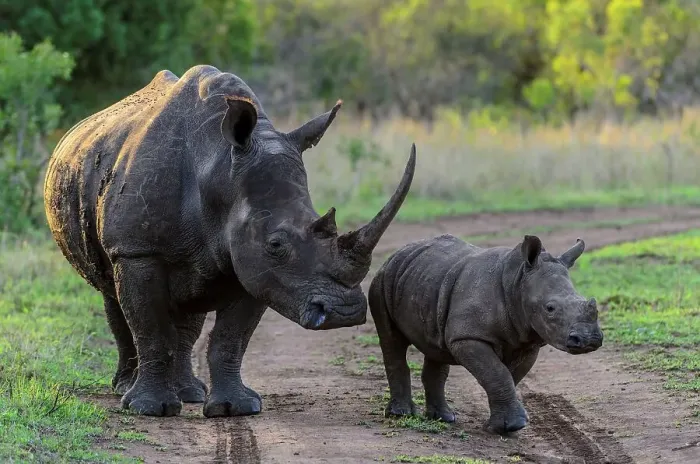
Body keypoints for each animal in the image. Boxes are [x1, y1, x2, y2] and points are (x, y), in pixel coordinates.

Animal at [44, 65, 417, 417]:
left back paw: (190, 393)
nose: (344, 313)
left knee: (188, 310)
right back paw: (125, 390)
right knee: (112, 294)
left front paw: (234, 409)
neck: (218, 167)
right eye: (276, 244)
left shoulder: (256, 266)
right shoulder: (138, 251)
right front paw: (148, 409)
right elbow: (151, 328)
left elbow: (231, 338)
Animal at [368, 234, 603, 434]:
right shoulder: (468, 337)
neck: (517, 282)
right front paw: (511, 426)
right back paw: (401, 414)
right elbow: (497, 374)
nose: (589, 339)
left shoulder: (528, 341)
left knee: (435, 347)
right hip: (383, 279)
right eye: (550, 308)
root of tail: (398, 252)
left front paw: (500, 425)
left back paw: (444, 418)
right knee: (392, 340)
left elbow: (508, 376)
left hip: (429, 282)